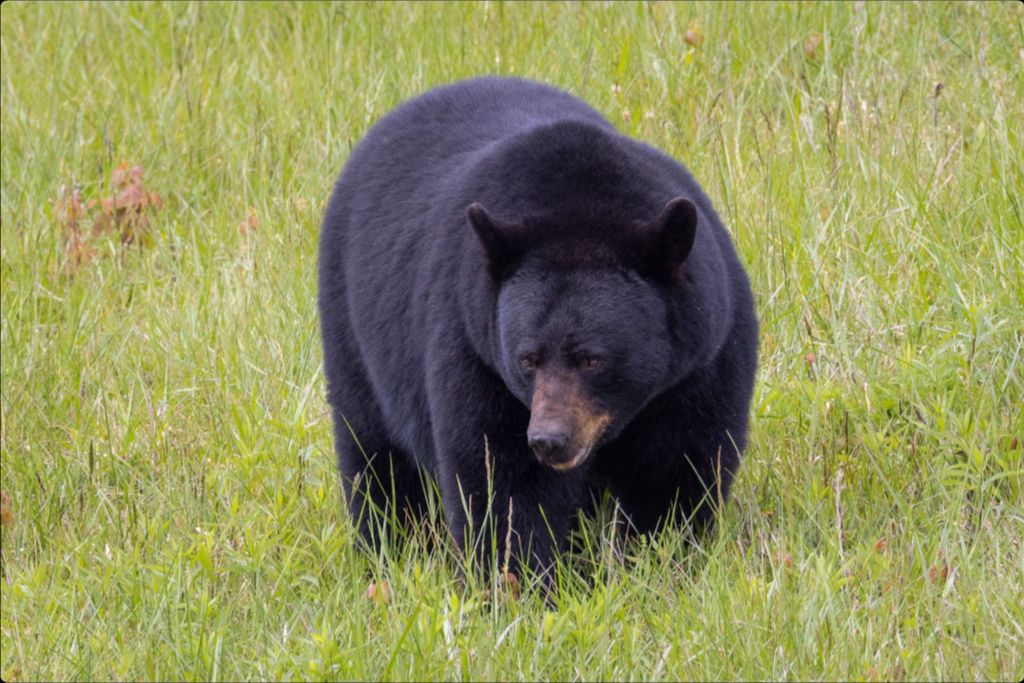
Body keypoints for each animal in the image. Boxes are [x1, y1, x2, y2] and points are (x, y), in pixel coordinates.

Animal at [319, 76, 761, 577]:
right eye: (527, 359)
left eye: (592, 359)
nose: (549, 440)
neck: (580, 204)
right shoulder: (474, 348)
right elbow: (503, 481)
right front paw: (517, 579)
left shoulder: (700, 364)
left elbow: (675, 471)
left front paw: (662, 562)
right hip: (355, 331)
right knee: (375, 454)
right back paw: (389, 550)